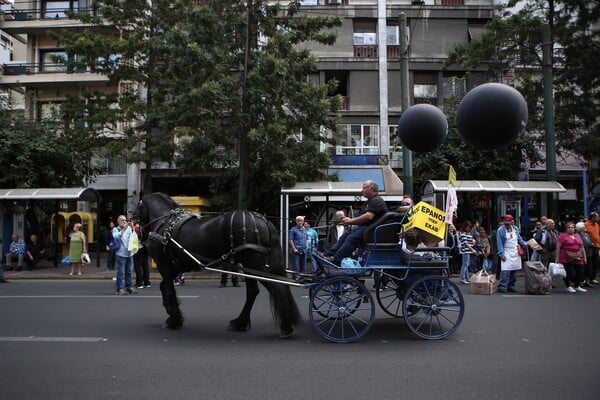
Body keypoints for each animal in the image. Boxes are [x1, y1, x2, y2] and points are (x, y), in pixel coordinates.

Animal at [132, 193, 298, 338]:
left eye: (138, 206)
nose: (132, 217)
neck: (166, 224)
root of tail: (264, 221)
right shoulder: (178, 266)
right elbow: (164, 286)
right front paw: (170, 308)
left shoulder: (163, 264)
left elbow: (169, 288)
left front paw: (174, 319)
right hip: (249, 265)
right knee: (254, 291)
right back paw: (241, 323)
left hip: (253, 264)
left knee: (275, 287)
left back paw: (285, 326)